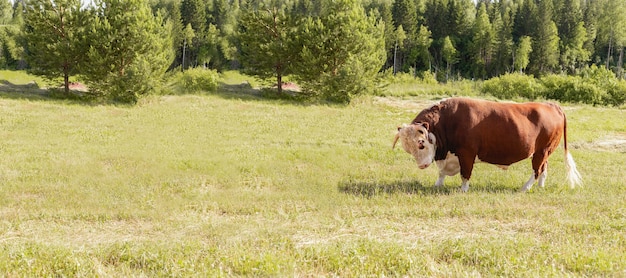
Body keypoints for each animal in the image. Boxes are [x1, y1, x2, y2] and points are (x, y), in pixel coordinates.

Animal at [392, 97, 584, 191]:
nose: (422, 165)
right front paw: (437, 185)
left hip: (541, 152)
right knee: (543, 169)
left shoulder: (466, 153)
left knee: (536, 171)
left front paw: (463, 190)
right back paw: (540, 187)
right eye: (408, 149)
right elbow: (441, 173)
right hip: (544, 152)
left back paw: (525, 187)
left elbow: (465, 174)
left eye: (421, 143)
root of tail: (551, 105)